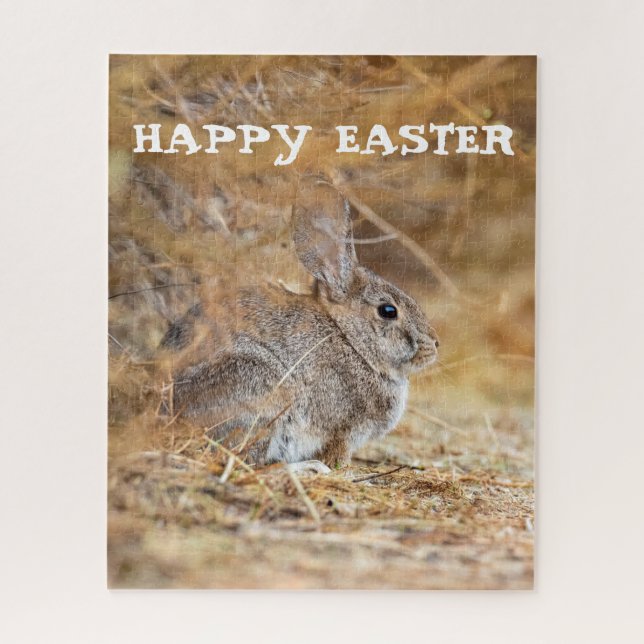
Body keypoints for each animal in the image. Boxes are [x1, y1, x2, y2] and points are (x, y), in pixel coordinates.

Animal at [160, 183, 439, 470]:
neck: (350, 340)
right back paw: (308, 468)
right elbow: (336, 455)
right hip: (262, 392)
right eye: (388, 311)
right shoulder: (343, 430)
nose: (434, 344)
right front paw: (339, 469)